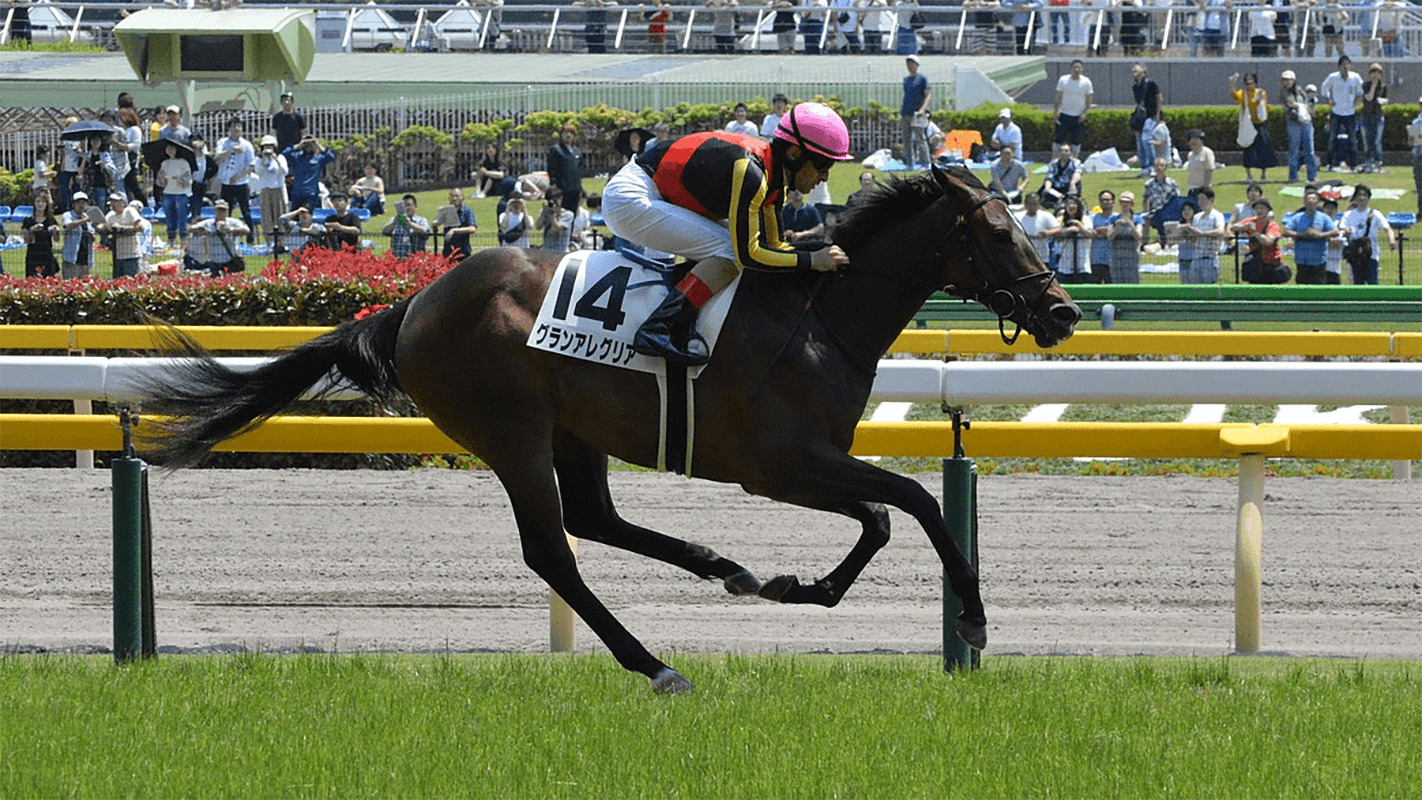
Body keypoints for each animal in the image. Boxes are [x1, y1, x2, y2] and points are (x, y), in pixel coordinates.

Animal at [136, 165, 1081, 694]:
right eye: (1000, 233)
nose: (1064, 313)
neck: (819, 314)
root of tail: (414, 302)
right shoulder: (781, 464)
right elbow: (911, 503)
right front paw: (972, 622)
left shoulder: (808, 463)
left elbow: (884, 516)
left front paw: (796, 586)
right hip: (511, 433)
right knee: (554, 550)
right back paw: (657, 665)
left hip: (572, 430)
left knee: (594, 519)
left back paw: (725, 569)